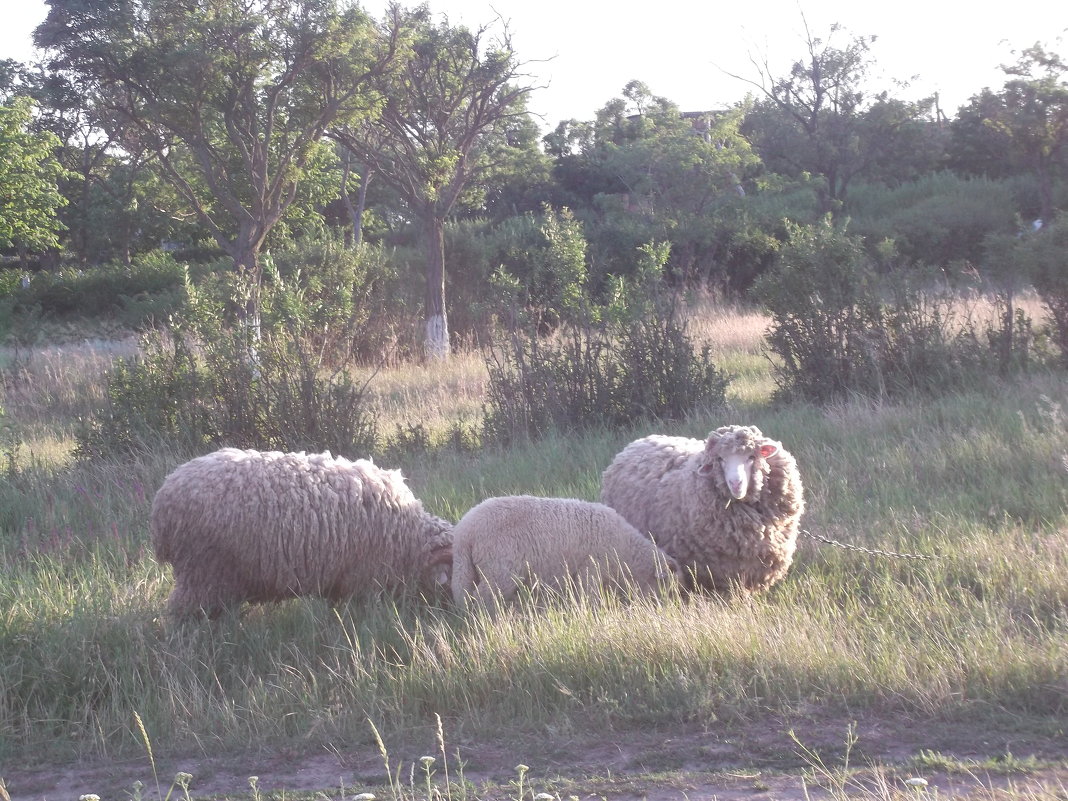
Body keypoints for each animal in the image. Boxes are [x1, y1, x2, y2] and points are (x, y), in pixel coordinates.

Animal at [448, 493, 679, 610]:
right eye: (667, 586)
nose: (664, 607)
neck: (625, 551)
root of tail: (465, 532)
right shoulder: (591, 568)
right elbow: (590, 595)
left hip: (469, 568)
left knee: (466, 593)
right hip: (499, 569)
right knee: (484, 598)